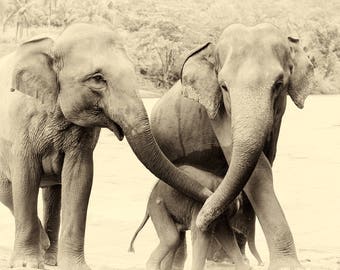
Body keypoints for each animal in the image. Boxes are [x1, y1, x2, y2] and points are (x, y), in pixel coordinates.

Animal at [0, 23, 212, 270]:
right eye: (98, 78)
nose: (212, 195)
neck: (54, 43)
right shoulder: (20, 125)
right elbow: (25, 177)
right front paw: (26, 264)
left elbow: (80, 177)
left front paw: (76, 267)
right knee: (9, 189)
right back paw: (42, 247)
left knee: (53, 193)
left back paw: (51, 258)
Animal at [129, 165, 258, 270]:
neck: (220, 182)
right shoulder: (200, 205)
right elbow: (201, 235)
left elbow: (225, 234)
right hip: (158, 205)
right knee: (172, 238)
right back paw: (151, 265)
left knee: (175, 238)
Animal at [150, 23, 314, 270]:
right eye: (224, 86)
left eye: (279, 85)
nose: (202, 219)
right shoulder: (216, 109)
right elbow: (258, 172)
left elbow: (262, 165)